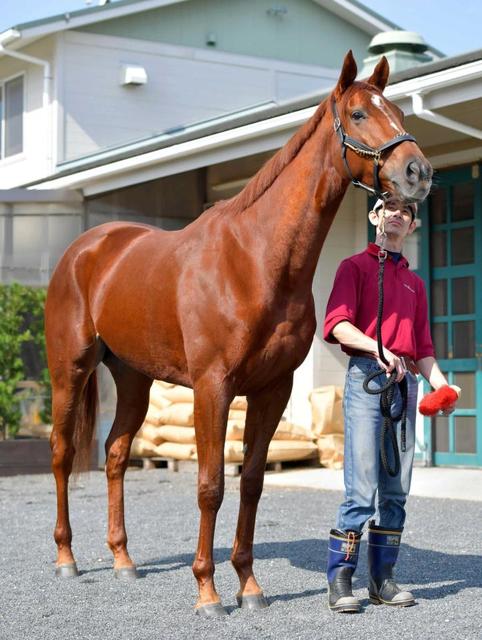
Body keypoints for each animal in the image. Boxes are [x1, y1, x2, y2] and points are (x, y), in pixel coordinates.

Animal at [45, 51, 432, 617]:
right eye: (359, 113)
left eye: (399, 111)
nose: (418, 172)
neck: (256, 259)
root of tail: (86, 248)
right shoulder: (213, 388)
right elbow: (211, 486)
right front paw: (207, 592)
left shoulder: (273, 390)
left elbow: (250, 482)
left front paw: (249, 587)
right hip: (69, 370)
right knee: (62, 453)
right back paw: (66, 559)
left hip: (135, 379)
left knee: (116, 454)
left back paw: (123, 561)